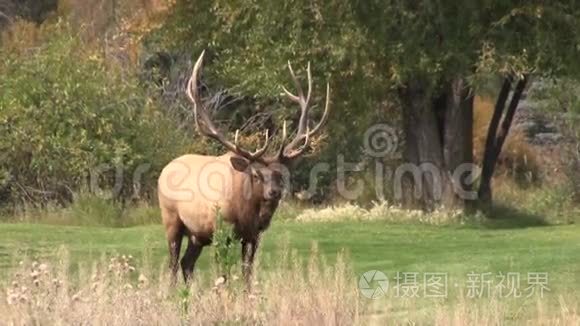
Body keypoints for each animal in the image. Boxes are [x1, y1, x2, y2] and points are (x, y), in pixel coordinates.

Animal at [159, 51, 330, 286]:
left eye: (282, 174)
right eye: (257, 175)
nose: (274, 192)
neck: (247, 212)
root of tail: (164, 170)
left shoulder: (253, 235)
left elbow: (247, 271)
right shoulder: (222, 229)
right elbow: (223, 272)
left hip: (197, 235)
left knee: (187, 263)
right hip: (171, 219)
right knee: (174, 263)